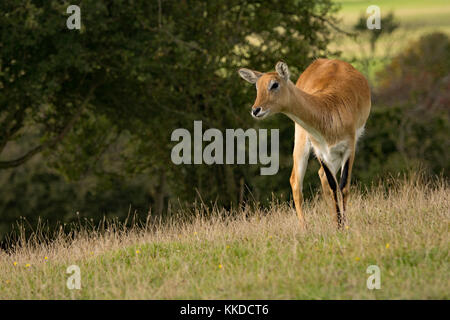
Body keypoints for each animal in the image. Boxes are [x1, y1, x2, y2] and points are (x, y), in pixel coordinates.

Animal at [239, 58, 370, 228]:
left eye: (274, 84)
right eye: (257, 86)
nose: (256, 110)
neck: (329, 110)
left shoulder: (349, 148)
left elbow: (343, 187)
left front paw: (343, 225)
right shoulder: (320, 151)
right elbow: (333, 185)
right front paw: (340, 226)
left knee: (321, 178)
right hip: (302, 140)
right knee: (297, 180)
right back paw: (305, 228)